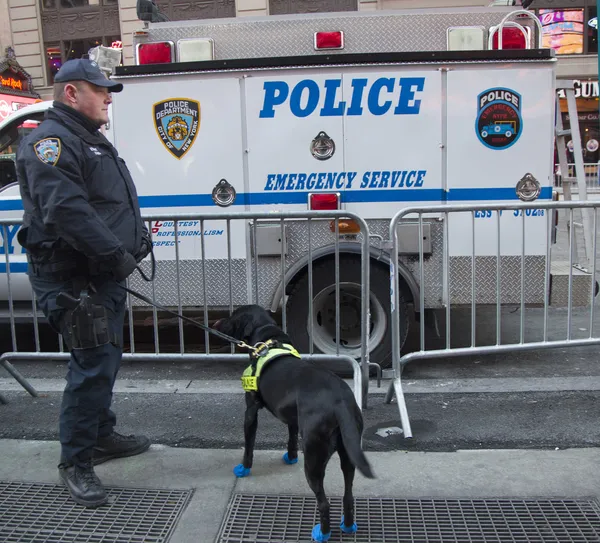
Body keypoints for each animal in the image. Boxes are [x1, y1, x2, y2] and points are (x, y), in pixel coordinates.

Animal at [214, 304, 376, 540]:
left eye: (233, 316)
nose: (216, 322)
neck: (268, 340)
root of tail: (340, 402)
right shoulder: (292, 419)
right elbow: (290, 438)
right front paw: (290, 457)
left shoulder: (250, 412)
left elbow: (249, 446)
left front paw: (244, 468)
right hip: (348, 456)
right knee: (348, 496)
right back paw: (347, 526)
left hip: (314, 459)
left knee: (324, 503)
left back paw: (322, 534)